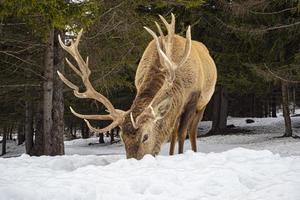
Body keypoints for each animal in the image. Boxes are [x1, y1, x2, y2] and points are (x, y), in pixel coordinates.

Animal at [57, 13, 217, 159]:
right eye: (122, 137)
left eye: (145, 136)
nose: (133, 161)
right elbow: (172, 131)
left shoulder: (193, 98)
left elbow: (183, 133)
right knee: (173, 132)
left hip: (204, 102)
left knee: (191, 130)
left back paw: (193, 151)